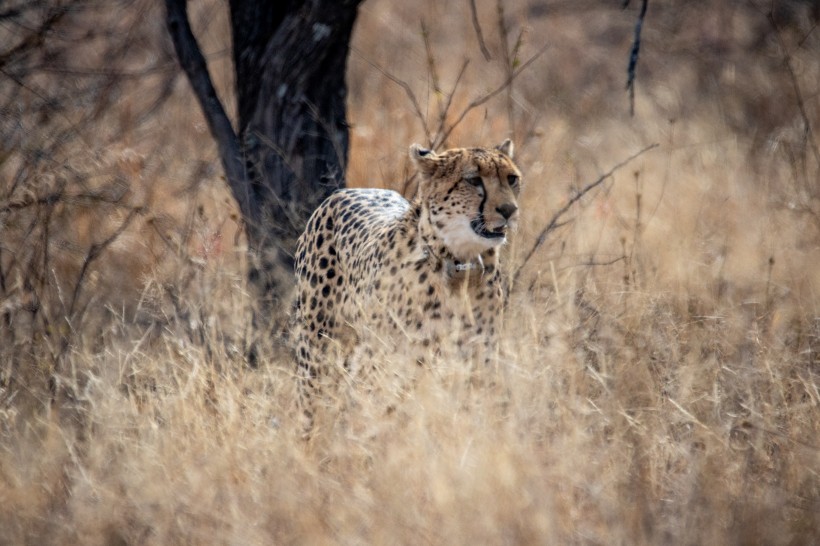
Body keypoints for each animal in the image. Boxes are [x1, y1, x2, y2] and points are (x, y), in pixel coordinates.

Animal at [292, 138, 524, 396]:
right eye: (474, 180)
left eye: (511, 178)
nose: (509, 210)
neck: (459, 262)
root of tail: (342, 191)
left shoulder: (478, 355)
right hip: (318, 346)